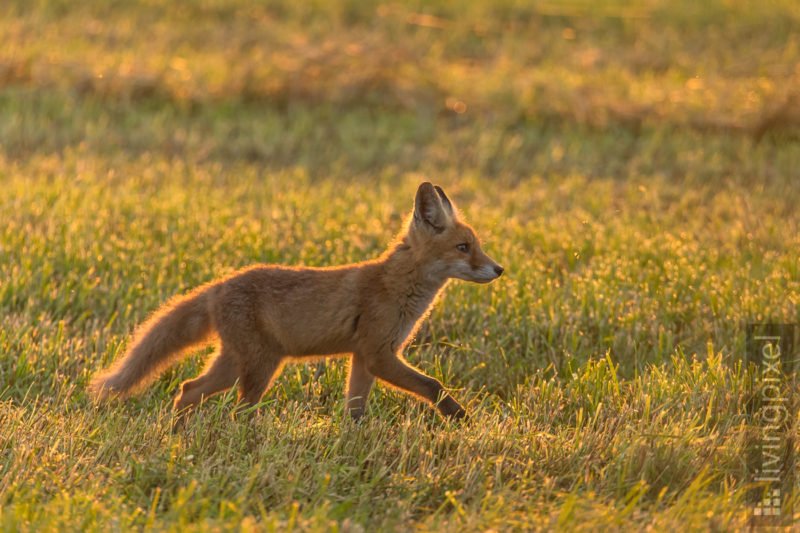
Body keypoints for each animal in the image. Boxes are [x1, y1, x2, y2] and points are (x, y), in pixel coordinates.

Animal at [90, 183, 504, 420]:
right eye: (464, 248)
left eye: (476, 246)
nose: (499, 269)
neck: (396, 288)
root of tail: (218, 284)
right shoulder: (378, 354)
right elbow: (434, 385)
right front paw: (459, 417)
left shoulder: (363, 358)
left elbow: (355, 411)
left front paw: (353, 444)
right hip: (260, 367)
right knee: (238, 411)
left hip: (235, 365)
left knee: (188, 388)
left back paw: (177, 434)